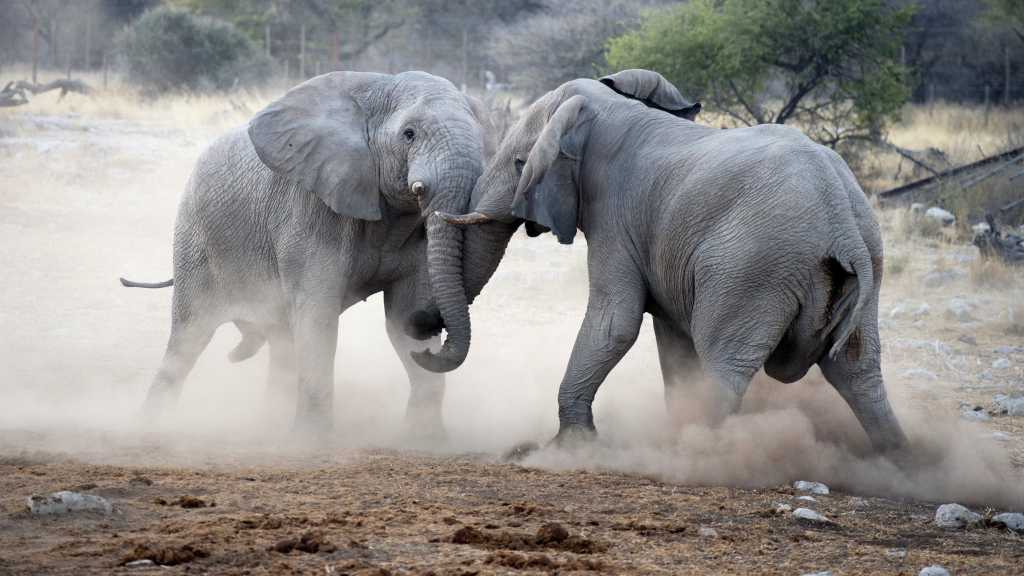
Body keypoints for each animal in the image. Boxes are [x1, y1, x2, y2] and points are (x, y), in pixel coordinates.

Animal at [122, 70, 491, 434]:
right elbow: (317, 318)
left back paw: (269, 421)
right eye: (409, 134)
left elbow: (400, 318)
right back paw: (151, 426)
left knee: (280, 338)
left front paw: (426, 438)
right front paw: (313, 439)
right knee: (189, 335)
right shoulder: (308, 209)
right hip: (195, 239)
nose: (435, 332)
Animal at [432, 68, 905, 453]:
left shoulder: (614, 219)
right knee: (858, 371)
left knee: (724, 364)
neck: (610, 109)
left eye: (519, 164)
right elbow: (672, 343)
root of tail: (841, 220)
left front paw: (569, 447)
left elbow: (615, 322)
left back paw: (691, 451)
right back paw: (899, 460)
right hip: (861, 265)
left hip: (752, 269)